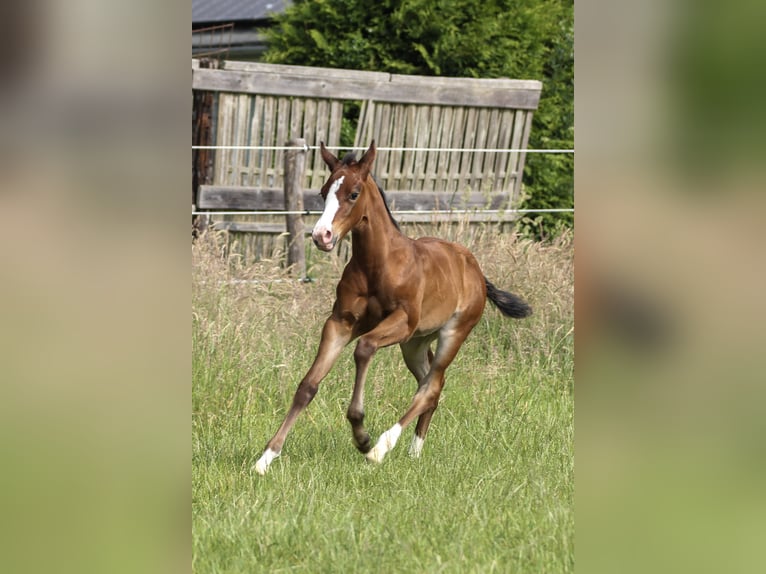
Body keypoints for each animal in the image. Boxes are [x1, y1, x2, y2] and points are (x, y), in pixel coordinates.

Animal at [254, 141, 531, 475]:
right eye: (322, 192)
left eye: (354, 193)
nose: (322, 236)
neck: (378, 264)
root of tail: (476, 270)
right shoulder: (340, 322)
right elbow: (308, 385)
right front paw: (266, 458)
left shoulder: (403, 321)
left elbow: (364, 348)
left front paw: (362, 436)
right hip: (415, 343)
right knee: (431, 383)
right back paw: (414, 450)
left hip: (452, 332)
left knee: (430, 386)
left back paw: (381, 448)